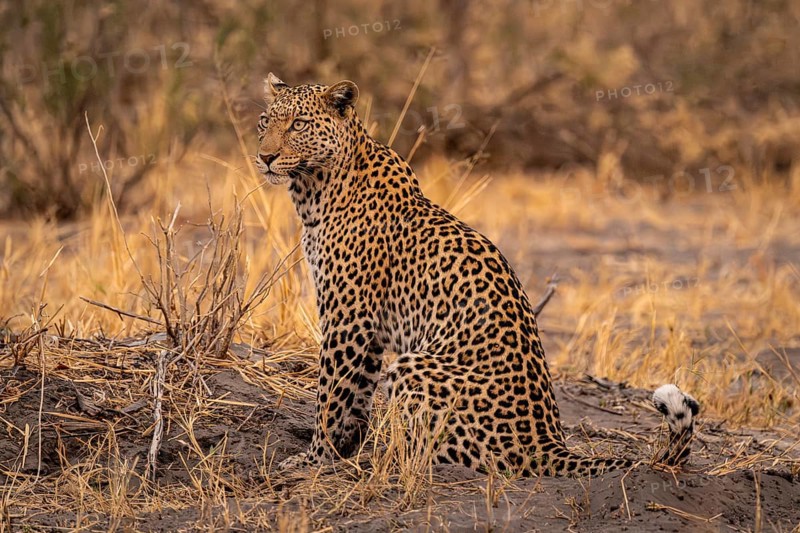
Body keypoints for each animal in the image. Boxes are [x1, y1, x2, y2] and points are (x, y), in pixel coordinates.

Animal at [255, 73, 698, 476]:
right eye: (265, 121)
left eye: (299, 124)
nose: (265, 157)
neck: (315, 188)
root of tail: (547, 444)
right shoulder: (367, 329)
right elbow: (356, 396)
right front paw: (344, 451)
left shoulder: (348, 318)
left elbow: (331, 395)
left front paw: (315, 458)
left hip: (413, 366)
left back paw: (396, 458)